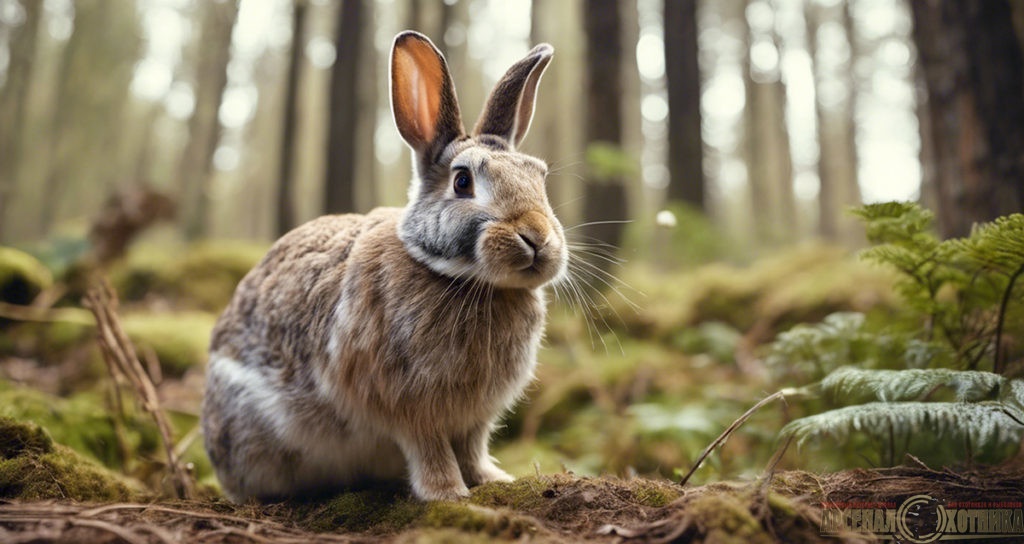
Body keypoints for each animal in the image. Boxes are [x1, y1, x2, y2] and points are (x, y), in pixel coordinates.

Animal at [201, 30, 566, 503]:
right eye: (462, 181)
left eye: (539, 177)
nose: (537, 238)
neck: (460, 278)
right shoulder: (405, 404)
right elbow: (429, 448)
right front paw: (449, 494)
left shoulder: (475, 418)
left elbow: (472, 447)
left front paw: (492, 480)